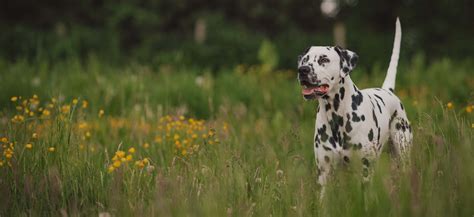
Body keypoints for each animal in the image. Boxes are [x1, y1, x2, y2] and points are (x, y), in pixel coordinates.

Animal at [298, 18, 412, 192]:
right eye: (305, 59)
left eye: (324, 59)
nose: (302, 70)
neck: (337, 116)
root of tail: (387, 90)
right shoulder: (324, 174)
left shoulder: (365, 171)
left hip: (402, 152)